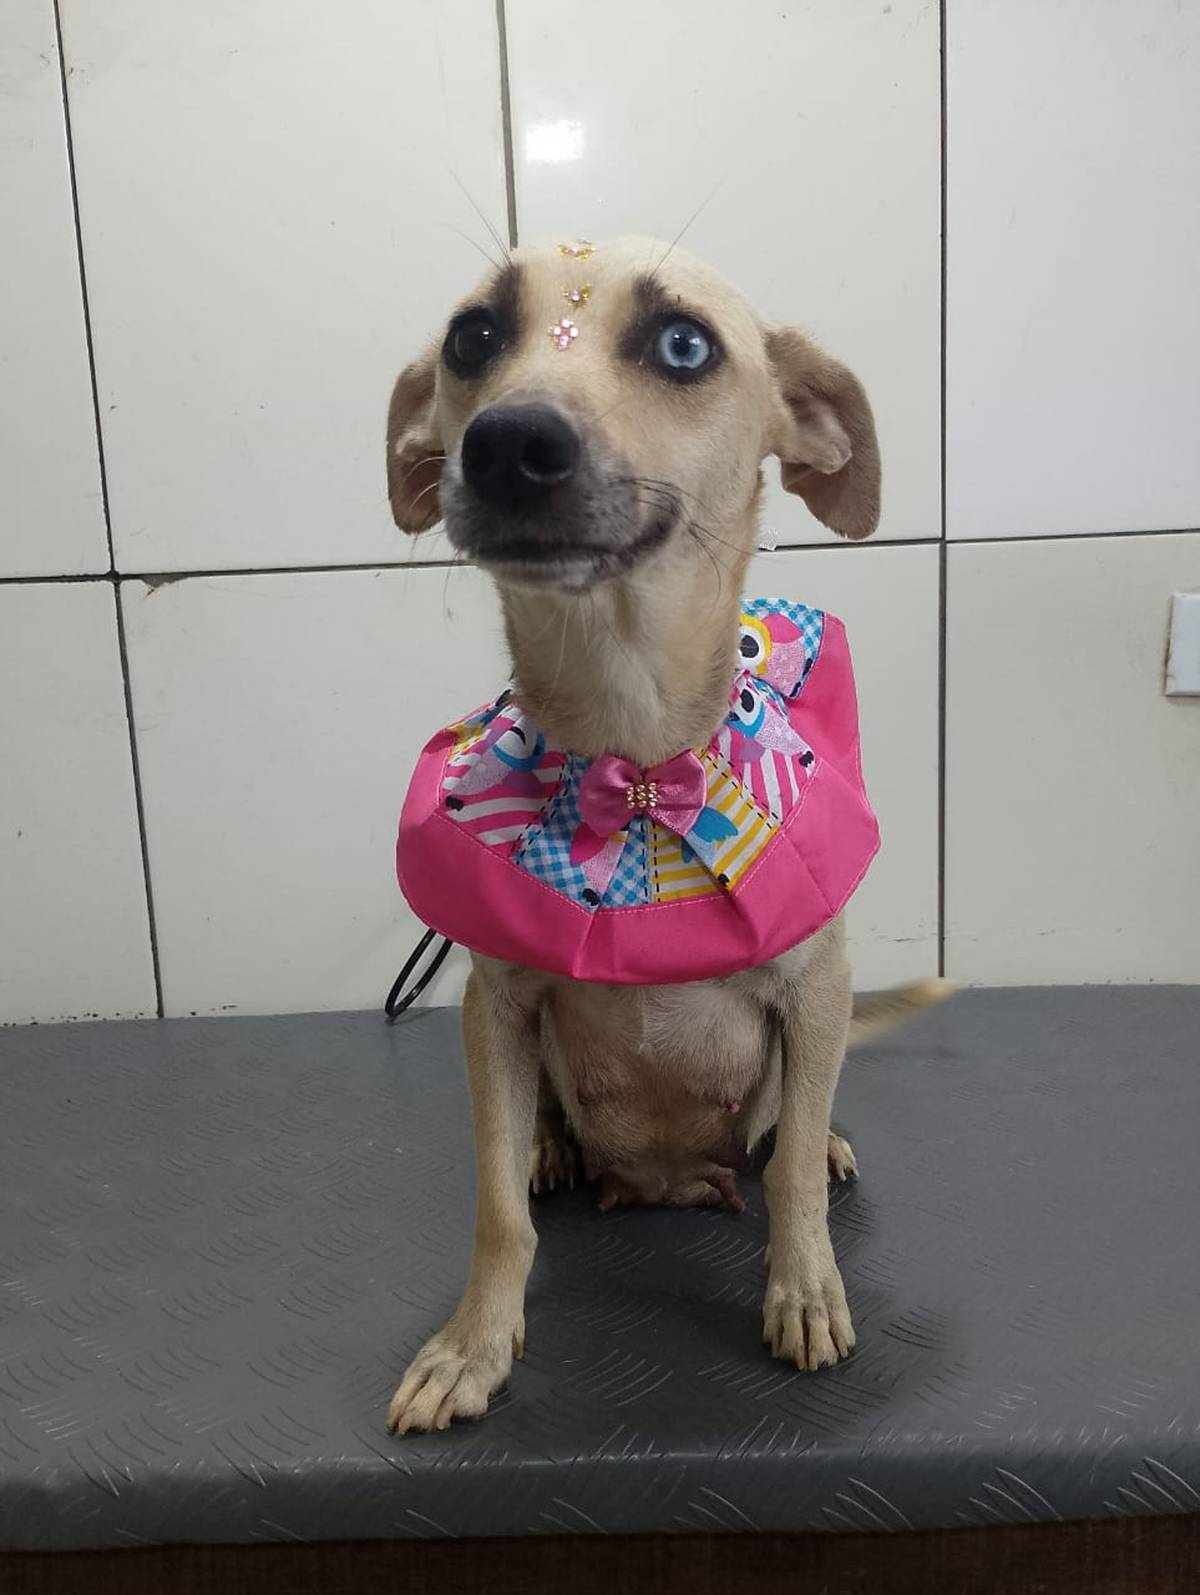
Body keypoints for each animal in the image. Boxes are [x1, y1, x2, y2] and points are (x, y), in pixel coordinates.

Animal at [384, 237, 947, 1434]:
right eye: (472, 337)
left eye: (685, 344)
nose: (505, 444)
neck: (633, 752)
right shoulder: (495, 1005)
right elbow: (496, 1207)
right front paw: (472, 1344)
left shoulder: (815, 988)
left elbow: (787, 1178)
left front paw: (803, 1289)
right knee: (543, 1137)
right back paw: (554, 1146)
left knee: (790, 1129)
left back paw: (818, 1139)